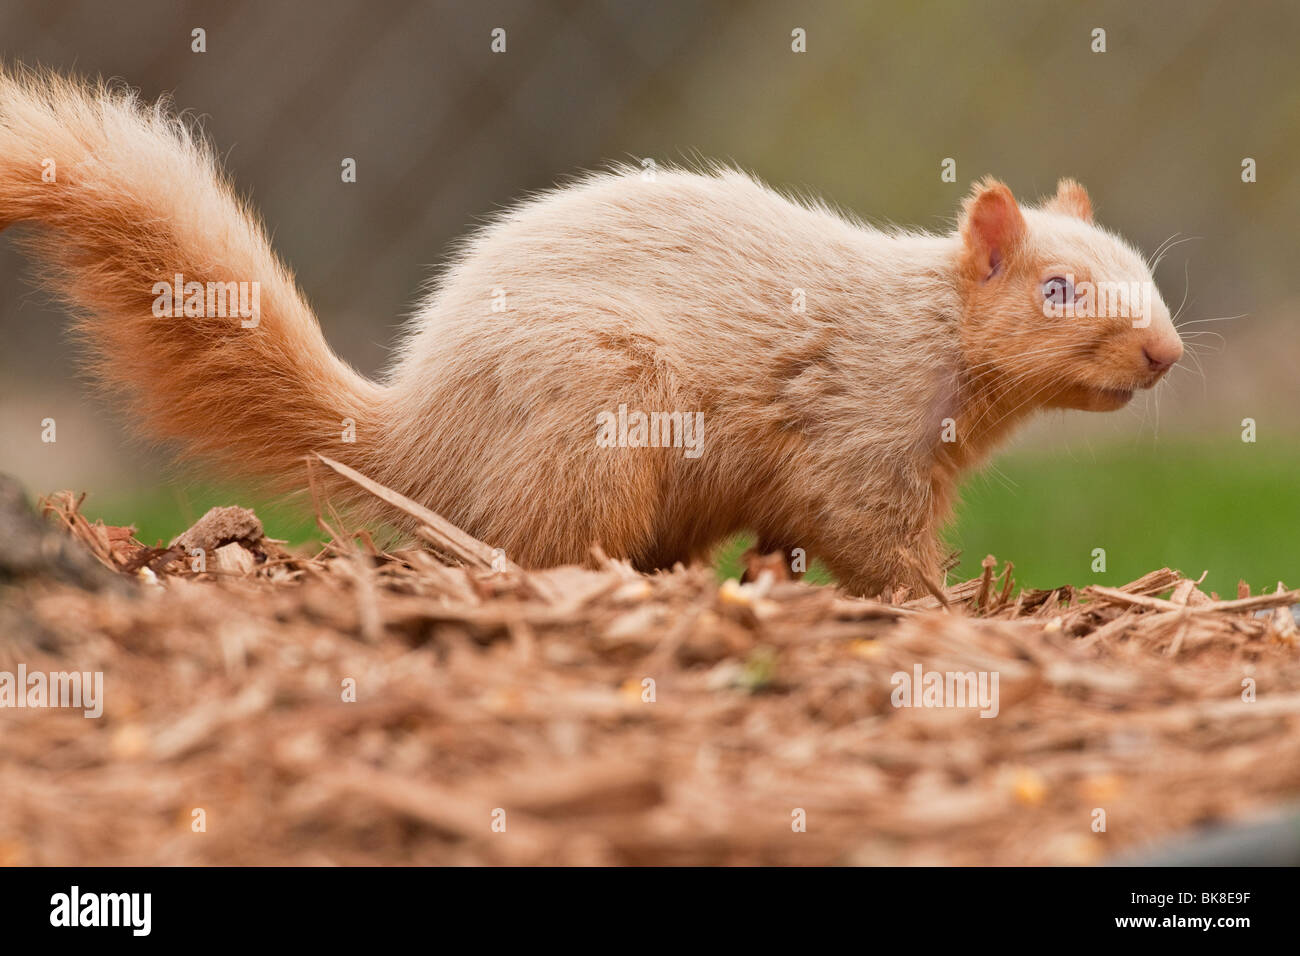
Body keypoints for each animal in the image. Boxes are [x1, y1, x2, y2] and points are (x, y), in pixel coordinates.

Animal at [0, 69, 1182, 596]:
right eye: (1060, 289)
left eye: (1147, 274)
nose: (1165, 354)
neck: (934, 328)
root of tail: (416, 438)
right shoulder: (860, 429)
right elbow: (872, 537)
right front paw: (948, 603)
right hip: (599, 414)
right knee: (540, 544)